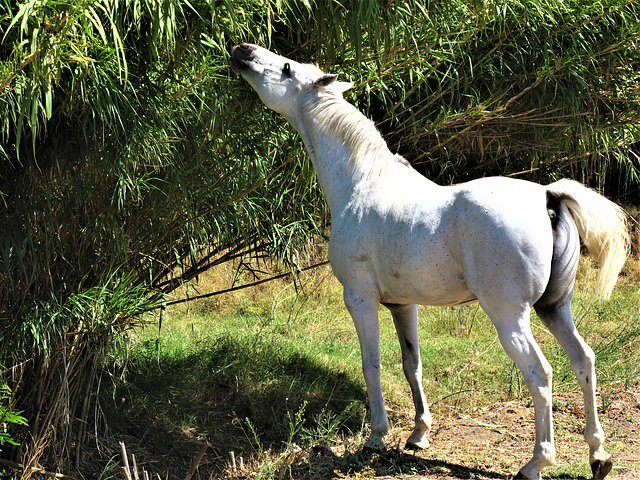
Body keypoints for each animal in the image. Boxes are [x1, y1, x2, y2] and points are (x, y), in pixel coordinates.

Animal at [231, 43, 632, 478]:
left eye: (287, 68)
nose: (243, 50)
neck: (362, 183)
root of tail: (548, 196)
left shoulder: (359, 299)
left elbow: (371, 364)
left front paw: (376, 438)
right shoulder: (402, 305)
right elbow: (412, 365)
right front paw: (418, 434)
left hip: (511, 317)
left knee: (540, 373)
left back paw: (536, 462)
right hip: (554, 309)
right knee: (583, 359)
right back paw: (598, 455)